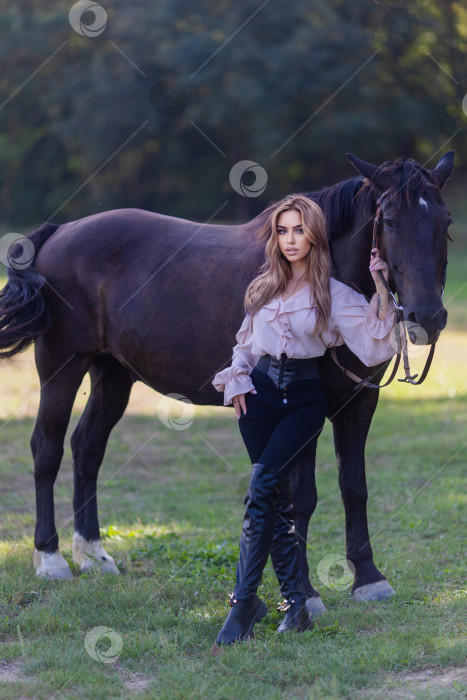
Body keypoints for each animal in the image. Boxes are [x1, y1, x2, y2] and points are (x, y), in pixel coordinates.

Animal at [0, 152, 454, 612]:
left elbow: (354, 487)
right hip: (62, 367)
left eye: (445, 221)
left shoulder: (358, 405)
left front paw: (369, 578)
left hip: (112, 374)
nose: (428, 317)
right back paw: (51, 559)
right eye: (390, 221)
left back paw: (93, 554)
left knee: (87, 448)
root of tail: (60, 233)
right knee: (47, 449)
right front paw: (307, 594)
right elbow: (304, 498)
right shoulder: (307, 412)